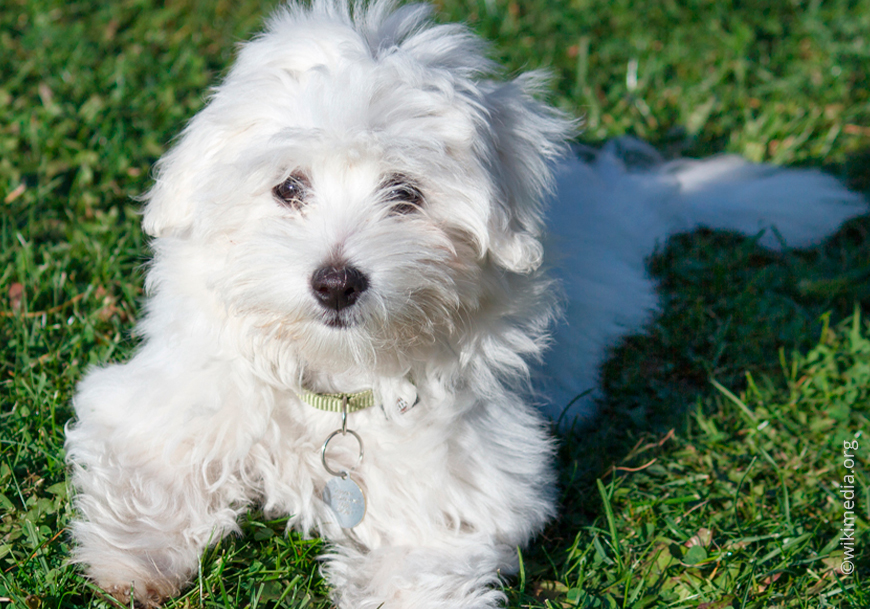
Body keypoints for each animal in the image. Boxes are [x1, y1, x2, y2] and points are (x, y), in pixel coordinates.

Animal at [66, 1, 864, 608]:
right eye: (287, 187)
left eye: (406, 193)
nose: (336, 282)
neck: (338, 376)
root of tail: (625, 199)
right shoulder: (176, 399)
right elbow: (151, 470)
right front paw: (133, 564)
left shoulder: (458, 484)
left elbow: (421, 563)